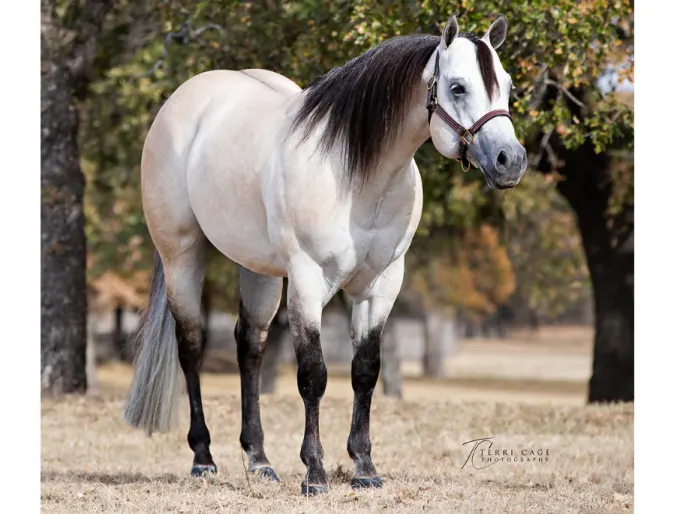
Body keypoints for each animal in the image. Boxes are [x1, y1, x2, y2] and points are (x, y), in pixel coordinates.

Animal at [122, 13, 524, 492]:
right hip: (182, 254)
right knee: (192, 346)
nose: (510, 160)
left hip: (256, 269)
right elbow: (312, 376)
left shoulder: (381, 285)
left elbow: (365, 372)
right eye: (458, 87)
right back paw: (203, 458)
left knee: (250, 347)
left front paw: (365, 468)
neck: (356, 175)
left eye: (508, 85)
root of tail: (183, 100)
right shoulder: (307, 281)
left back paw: (259, 461)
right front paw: (314, 473)